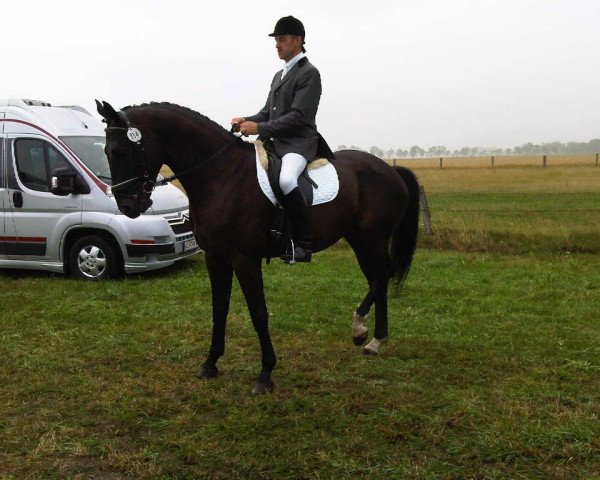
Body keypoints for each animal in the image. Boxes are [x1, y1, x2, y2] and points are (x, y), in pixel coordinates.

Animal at [96, 100, 420, 394]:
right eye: (107, 152)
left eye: (120, 151)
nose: (127, 206)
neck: (221, 175)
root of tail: (390, 170)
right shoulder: (216, 258)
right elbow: (219, 309)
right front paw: (210, 364)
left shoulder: (245, 260)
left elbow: (259, 313)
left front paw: (265, 375)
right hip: (359, 240)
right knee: (378, 279)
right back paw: (375, 339)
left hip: (372, 238)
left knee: (381, 277)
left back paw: (360, 330)